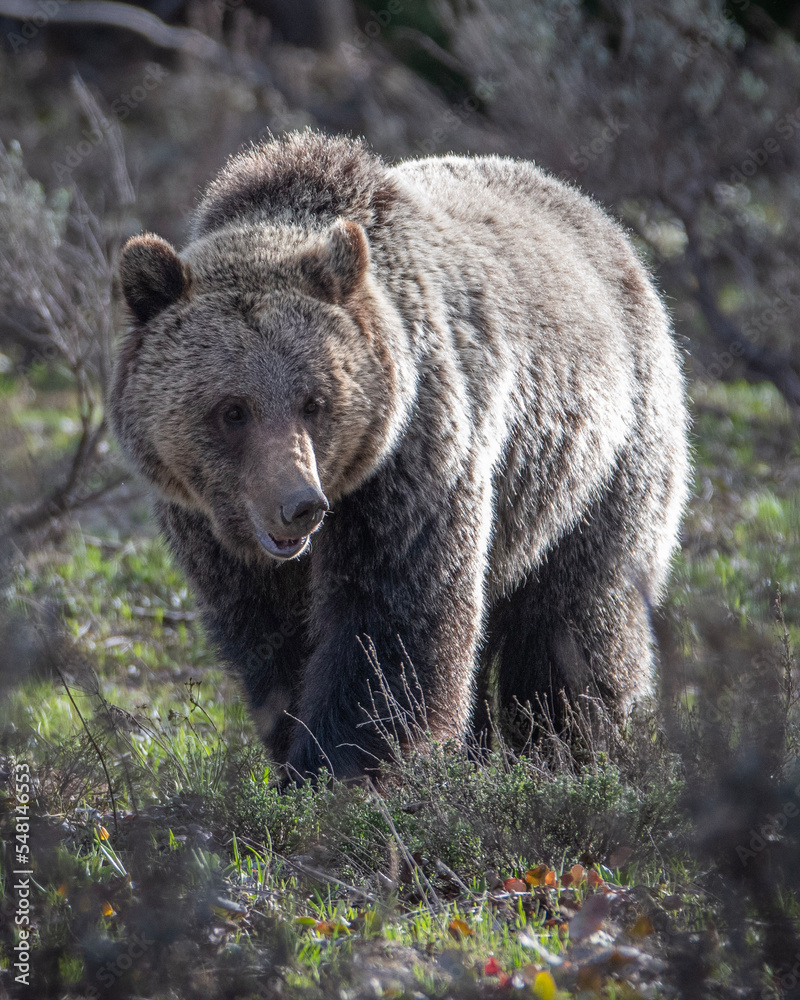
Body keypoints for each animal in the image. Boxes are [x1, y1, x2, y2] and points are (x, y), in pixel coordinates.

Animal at [109, 129, 692, 780]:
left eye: (315, 401)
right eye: (233, 409)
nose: (298, 505)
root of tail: (602, 222)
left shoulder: (408, 467)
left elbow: (390, 623)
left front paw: (338, 767)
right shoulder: (213, 529)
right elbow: (274, 642)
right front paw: (297, 749)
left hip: (601, 464)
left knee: (575, 619)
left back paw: (566, 749)